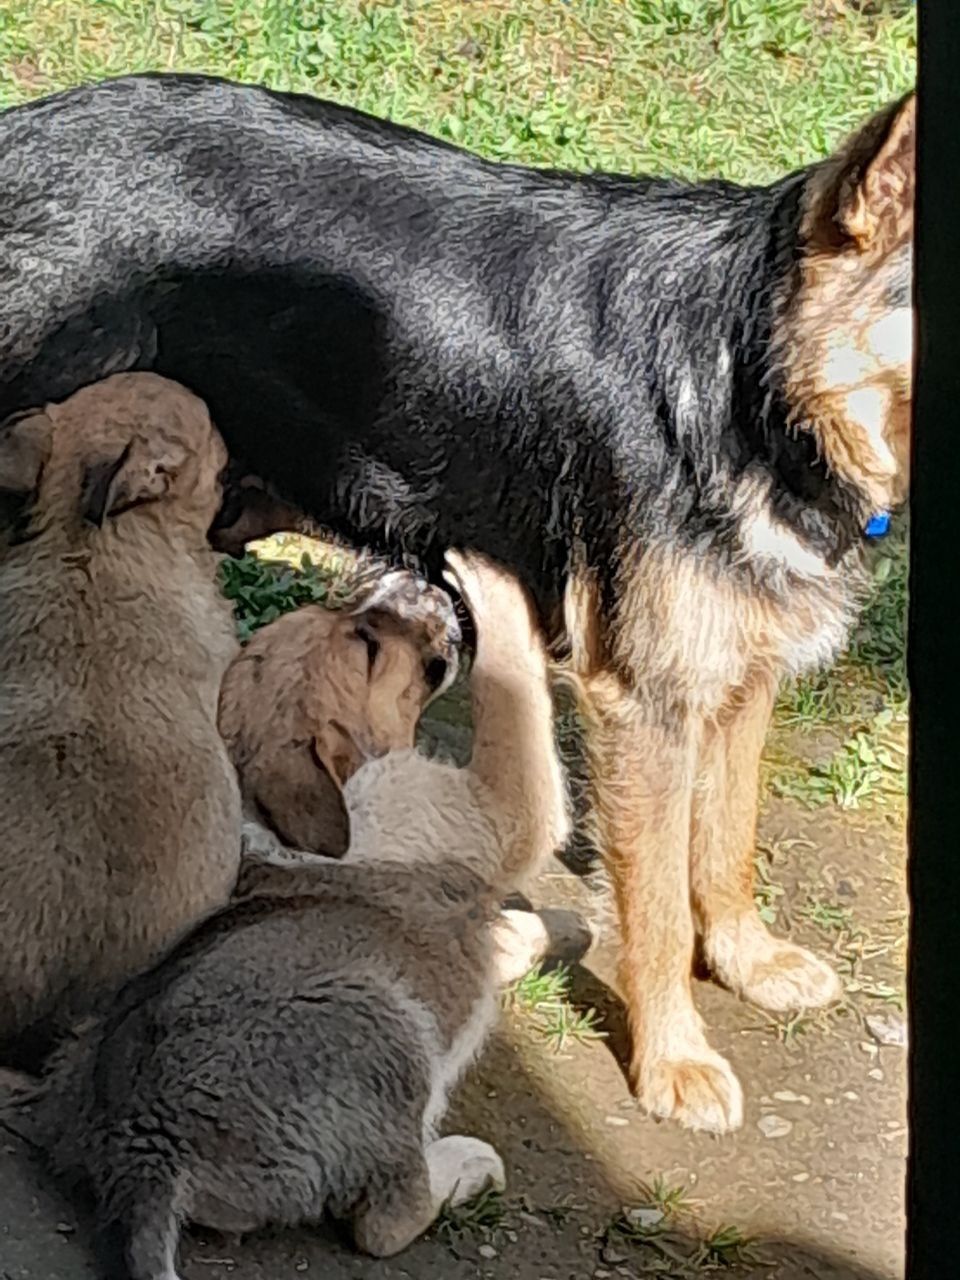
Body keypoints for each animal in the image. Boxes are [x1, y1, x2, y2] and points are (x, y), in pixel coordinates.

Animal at [28, 550, 570, 1280]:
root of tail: (140, 1150)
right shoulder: (501, 808)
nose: (410, 575)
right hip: (385, 1022)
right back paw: (464, 1165)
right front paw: (491, 580)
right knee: (385, 1219)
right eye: (366, 644)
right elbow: (518, 703)